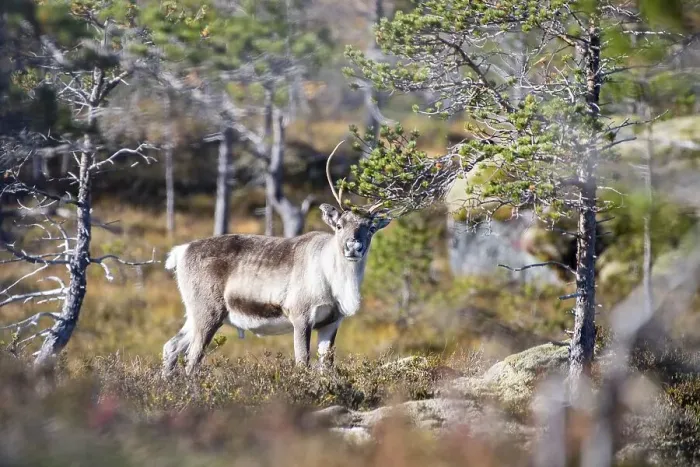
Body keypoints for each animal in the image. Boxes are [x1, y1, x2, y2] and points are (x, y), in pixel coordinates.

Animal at [162, 141, 392, 376]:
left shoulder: (331, 322)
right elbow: (302, 362)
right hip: (207, 313)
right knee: (192, 359)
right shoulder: (301, 317)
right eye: (339, 225)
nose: (353, 247)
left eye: (371, 228)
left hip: (194, 316)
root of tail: (182, 251)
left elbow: (327, 366)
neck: (332, 278)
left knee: (171, 346)